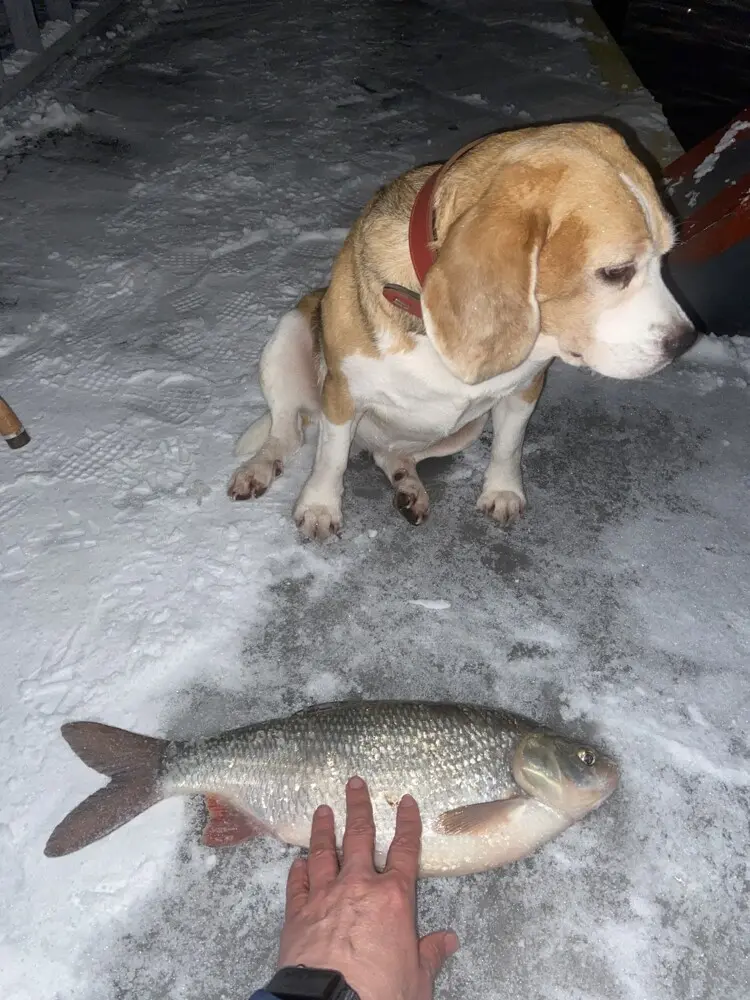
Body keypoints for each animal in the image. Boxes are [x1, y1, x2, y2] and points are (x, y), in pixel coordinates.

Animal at [229, 123, 700, 540]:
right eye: (615, 272)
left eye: (667, 254)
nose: (683, 342)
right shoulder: (342, 394)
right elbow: (329, 459)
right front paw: (319, 507)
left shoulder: (524, 390)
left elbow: (509, 446)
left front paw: (503, 492)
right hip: (289, 337)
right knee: (287, 433)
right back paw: (259, 468)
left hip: (459, 430)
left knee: (390, 454)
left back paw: (407, 485)